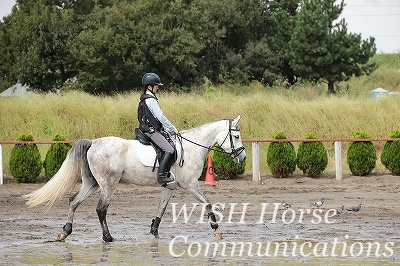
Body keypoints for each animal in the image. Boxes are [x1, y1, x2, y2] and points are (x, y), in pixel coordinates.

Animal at [24, 115, 247, 242]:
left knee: (73, 201)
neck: (192, 147)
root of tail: (93, 143)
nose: (243, 157)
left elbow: (161, 208)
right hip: (108, 184)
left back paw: (66, 232)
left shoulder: (170, 187)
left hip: (92, 183)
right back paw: (108, 237)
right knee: (101, 209)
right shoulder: (191, 185)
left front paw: (154, 231)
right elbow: (208, 203)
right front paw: (216, 230)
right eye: (236, 136)